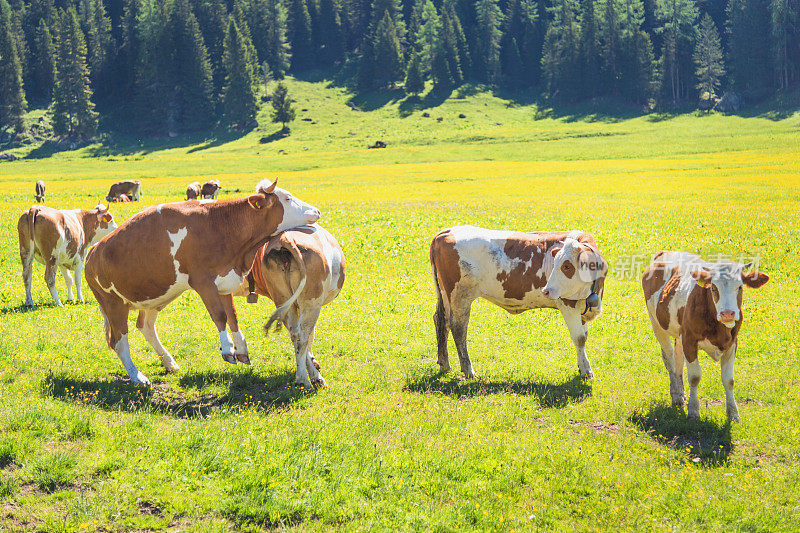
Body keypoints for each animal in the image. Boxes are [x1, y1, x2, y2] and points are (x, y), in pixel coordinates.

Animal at [82, 181, 318, 384]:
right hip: (113, 305)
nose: (316, 211)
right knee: (119, 342)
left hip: (152, 298)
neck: (220, 225)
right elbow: (220, 316)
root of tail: (92, 254)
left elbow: (233, 316)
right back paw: (137, 376)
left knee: (145, 326)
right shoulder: (203, 282)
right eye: (287, 198)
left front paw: (241, 348)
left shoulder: (224, 281)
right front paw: (227, 349)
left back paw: (169, 362)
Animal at [230, 222, 346, 388]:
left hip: (283, 299)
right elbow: (310, 335)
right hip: (311, 302)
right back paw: (309, 380)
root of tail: (286, 239)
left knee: (295, 334)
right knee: (302, 336)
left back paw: (303, 377)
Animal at [432, 224, 608, 378]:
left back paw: (445, 365)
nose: (546, 290)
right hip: (460, 296)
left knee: (441, 321)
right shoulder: (568, 303)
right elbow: (579, 338)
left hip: (445, 295)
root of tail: (446, 231)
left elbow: (584, 335)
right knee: (458, 328)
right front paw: (587, 371)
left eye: (567, 266)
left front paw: (581, 366)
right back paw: (468, 370)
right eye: (557, 263)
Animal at [644, 251, 768, 422]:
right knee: (669, 359)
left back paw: (681, 392)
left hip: (679, 333)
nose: (727, 314)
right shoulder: (689, 340)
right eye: (714, 288)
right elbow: (695, 376)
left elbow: (729, 380)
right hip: (656, 324)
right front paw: (693, 411)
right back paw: (676, 394)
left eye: (740, 287)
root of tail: (666, 252)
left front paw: (733, 413)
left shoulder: (732, 342)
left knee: (678, 359)